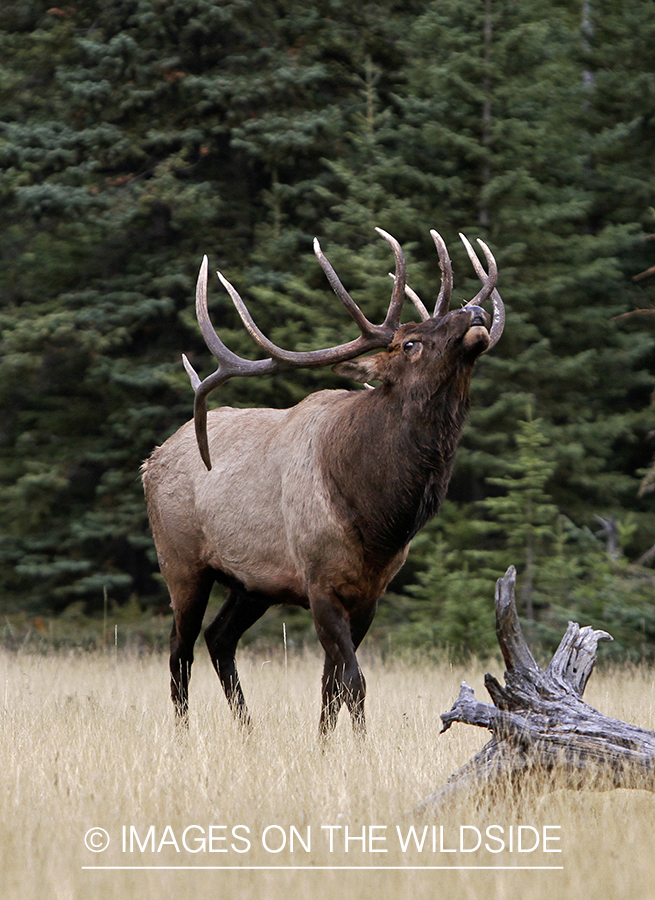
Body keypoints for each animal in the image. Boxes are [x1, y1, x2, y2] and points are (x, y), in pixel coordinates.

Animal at [141, 229, 504, 736]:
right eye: (410, 343)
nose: (473, 310)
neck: (378, 517)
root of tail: (149, 462)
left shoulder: (370, 592)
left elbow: (331, 685)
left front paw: (325, 743)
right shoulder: (319, 581)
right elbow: (354, 681)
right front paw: (360, 744)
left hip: (252, 584)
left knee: (219, 637)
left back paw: (248, 729)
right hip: (180, 561)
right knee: (180, 646)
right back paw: (183, 732)